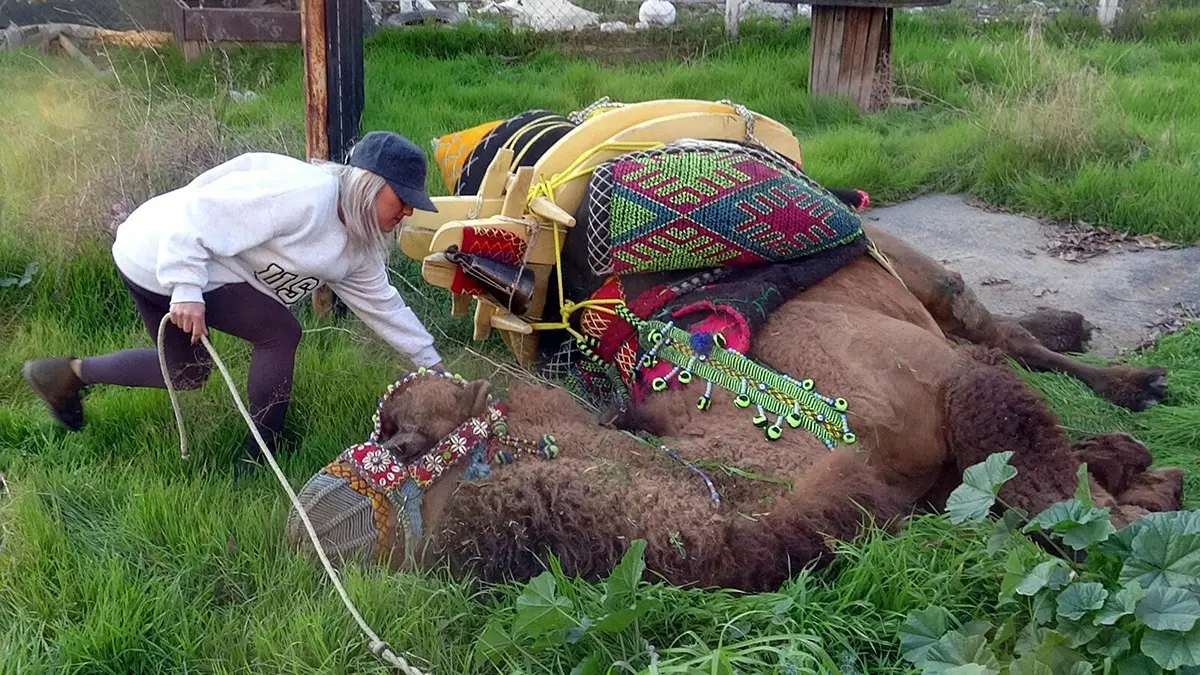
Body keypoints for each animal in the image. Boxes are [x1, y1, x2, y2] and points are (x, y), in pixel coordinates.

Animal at [290, 220, 1180, 588]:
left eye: (400, 437)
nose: (304, 523)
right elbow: (1034, 487)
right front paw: (1139, 473)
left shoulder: (951, 387)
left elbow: (1055, 492)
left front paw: (1147, 501)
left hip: (918, 272)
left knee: (995, 327)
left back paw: (1132, 380)